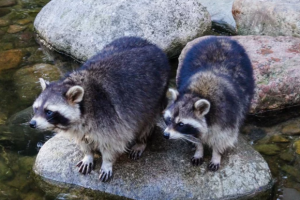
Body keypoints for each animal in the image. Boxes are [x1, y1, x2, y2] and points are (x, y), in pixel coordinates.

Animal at [30, 36, 171, 181]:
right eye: (36, 109)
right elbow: (83, 140)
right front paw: (88, 155)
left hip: (155, 98)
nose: (32, 123)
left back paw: (141, 142)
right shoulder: (79, 127)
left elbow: (112, 143)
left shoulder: (108, 116)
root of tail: (153, 46)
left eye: (48, 112)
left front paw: (107, 162)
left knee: (147, 123)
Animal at [163, 36, 254, 171]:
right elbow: (197, 137)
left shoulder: (226, 115)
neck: (198, 94)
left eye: (181, 124)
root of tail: (220, 37)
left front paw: (216, 155)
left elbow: (223, 138)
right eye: (169, 119)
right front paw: (199, 149)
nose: (165, 135)